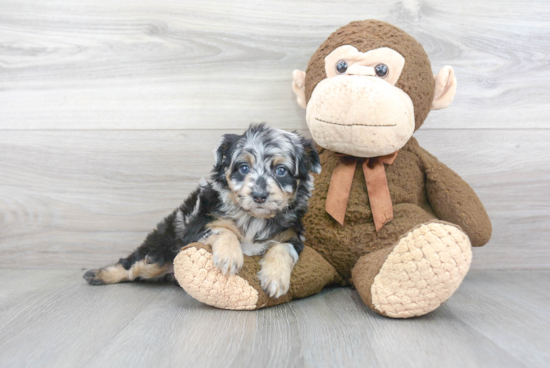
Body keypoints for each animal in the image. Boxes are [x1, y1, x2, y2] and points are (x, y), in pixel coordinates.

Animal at [83, 124, 322, 300]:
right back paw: (99, 274)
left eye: (281, 171)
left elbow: (282, 249)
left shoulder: (293, 236)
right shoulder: (196, 224)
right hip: (158, 254)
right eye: (243, 168)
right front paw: (229, 256)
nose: (259, 195)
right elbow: (223, 230)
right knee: (132, 266)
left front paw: (275, 278)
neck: (253, 217)